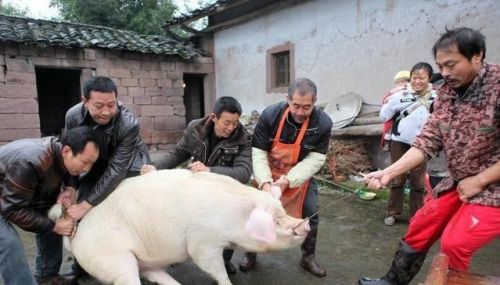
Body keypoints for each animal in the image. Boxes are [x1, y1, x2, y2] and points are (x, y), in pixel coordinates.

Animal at [57, 169, 308, 284]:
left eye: (283, 211)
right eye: (276, 220)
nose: (304, 224)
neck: (234, 216)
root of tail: (76, 239)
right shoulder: (203, 241)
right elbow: (210, 264)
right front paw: (227, 281)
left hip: (142, 261)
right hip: (113, 257)